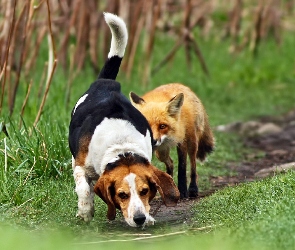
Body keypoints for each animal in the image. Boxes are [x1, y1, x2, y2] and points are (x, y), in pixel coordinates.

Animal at [69, 12, 180, 228]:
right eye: (122, 195)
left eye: (145, 191)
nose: (139, 219)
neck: (122, 148)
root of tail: (106, 83)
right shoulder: (81, 166)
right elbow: (84, 188)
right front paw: (86, 210)